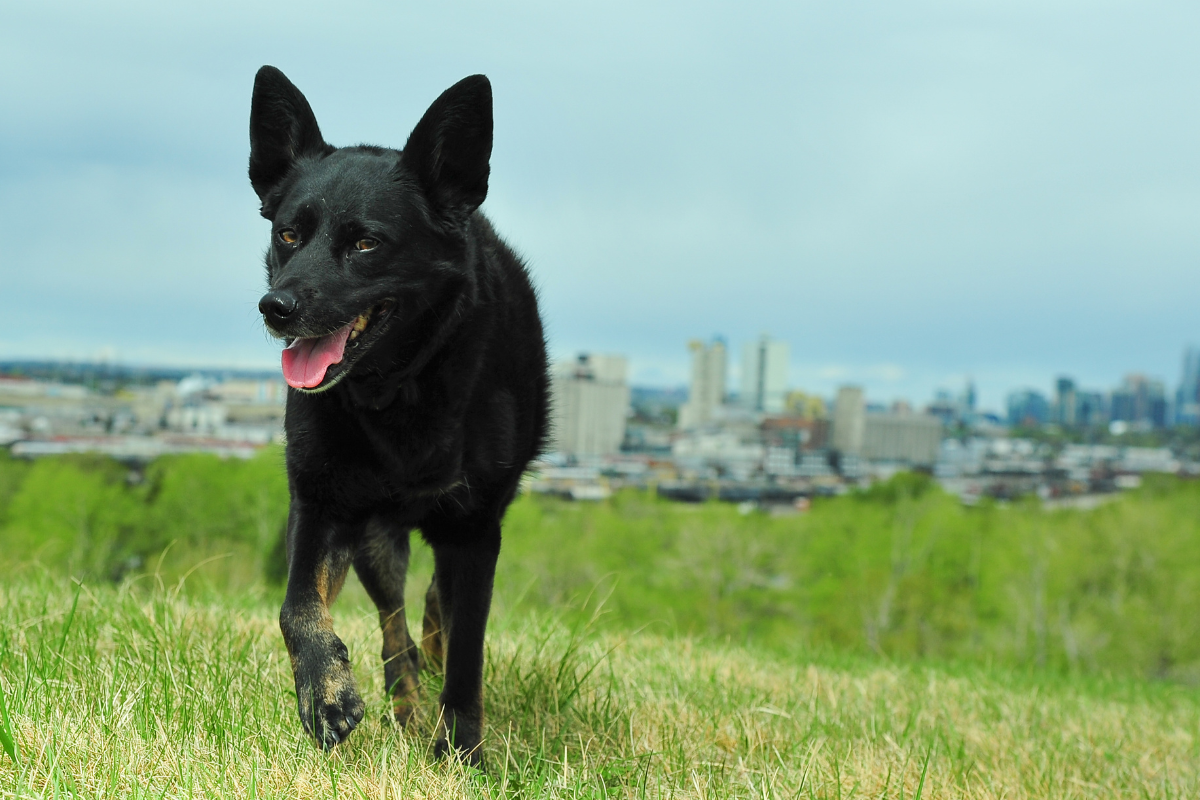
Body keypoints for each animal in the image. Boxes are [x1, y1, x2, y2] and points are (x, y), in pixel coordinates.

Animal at [253, 65, 552, 767]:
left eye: (366, 243)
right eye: (288, 234)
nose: (276, 307)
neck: (398, 391)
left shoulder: (474, 530)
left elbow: (468, 650)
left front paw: (462, 752)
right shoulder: (320, 502)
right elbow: (297, 607)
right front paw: (326, 692)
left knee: (437, 610)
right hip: (374, 538)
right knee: (395, 628)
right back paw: (405, 700)